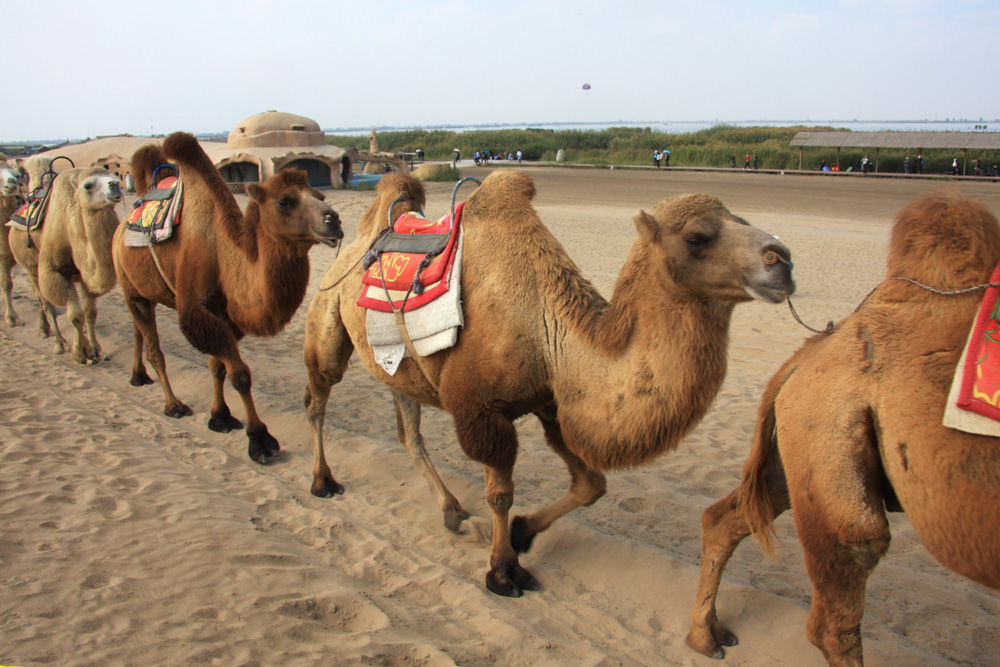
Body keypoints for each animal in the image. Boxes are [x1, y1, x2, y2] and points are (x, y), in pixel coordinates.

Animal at [7, 167, 123, 366]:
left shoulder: (85, 275)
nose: (115, 185)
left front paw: (97, 350)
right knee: (45, 302)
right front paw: (81, 352)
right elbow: (76, 316)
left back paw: (44, 330)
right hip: (29, 265)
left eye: (114, 177)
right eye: (88, 185)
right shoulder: (53, 272)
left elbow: (90, 313)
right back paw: (58, 342)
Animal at [114, 130, 344, 464]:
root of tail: (121, 227)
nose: (333, 220)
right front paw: (259, 439)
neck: (224, 255)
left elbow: (218, 366)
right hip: (129, 285)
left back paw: (137, 376)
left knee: (136, 331)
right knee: (154, 346)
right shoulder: (196, 311)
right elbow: (240, 375)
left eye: (320, 196)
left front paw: (220, 416)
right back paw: (173, 404)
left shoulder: (228, 317)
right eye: (284, 201)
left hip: (142, 290)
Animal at [300, 170, 792, 596]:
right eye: (696, 238)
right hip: (328, 316)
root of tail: (356, 240)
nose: (782, 259)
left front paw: (522, 533)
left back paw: (453, 511)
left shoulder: (551, 403)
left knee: (408, 433)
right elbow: (500, 493)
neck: (546, 322)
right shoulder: (481, 410)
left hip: (397, 366)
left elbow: (591, 484)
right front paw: (503, 571)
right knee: (318, 395)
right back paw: (322, 480)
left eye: (742, 220)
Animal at [684, 189, 1000, 667]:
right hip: (829, 446)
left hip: (800, 450)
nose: (778, 260)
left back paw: (705, 637)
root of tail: (811, 349)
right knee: (839, 604)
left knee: (727, 518)